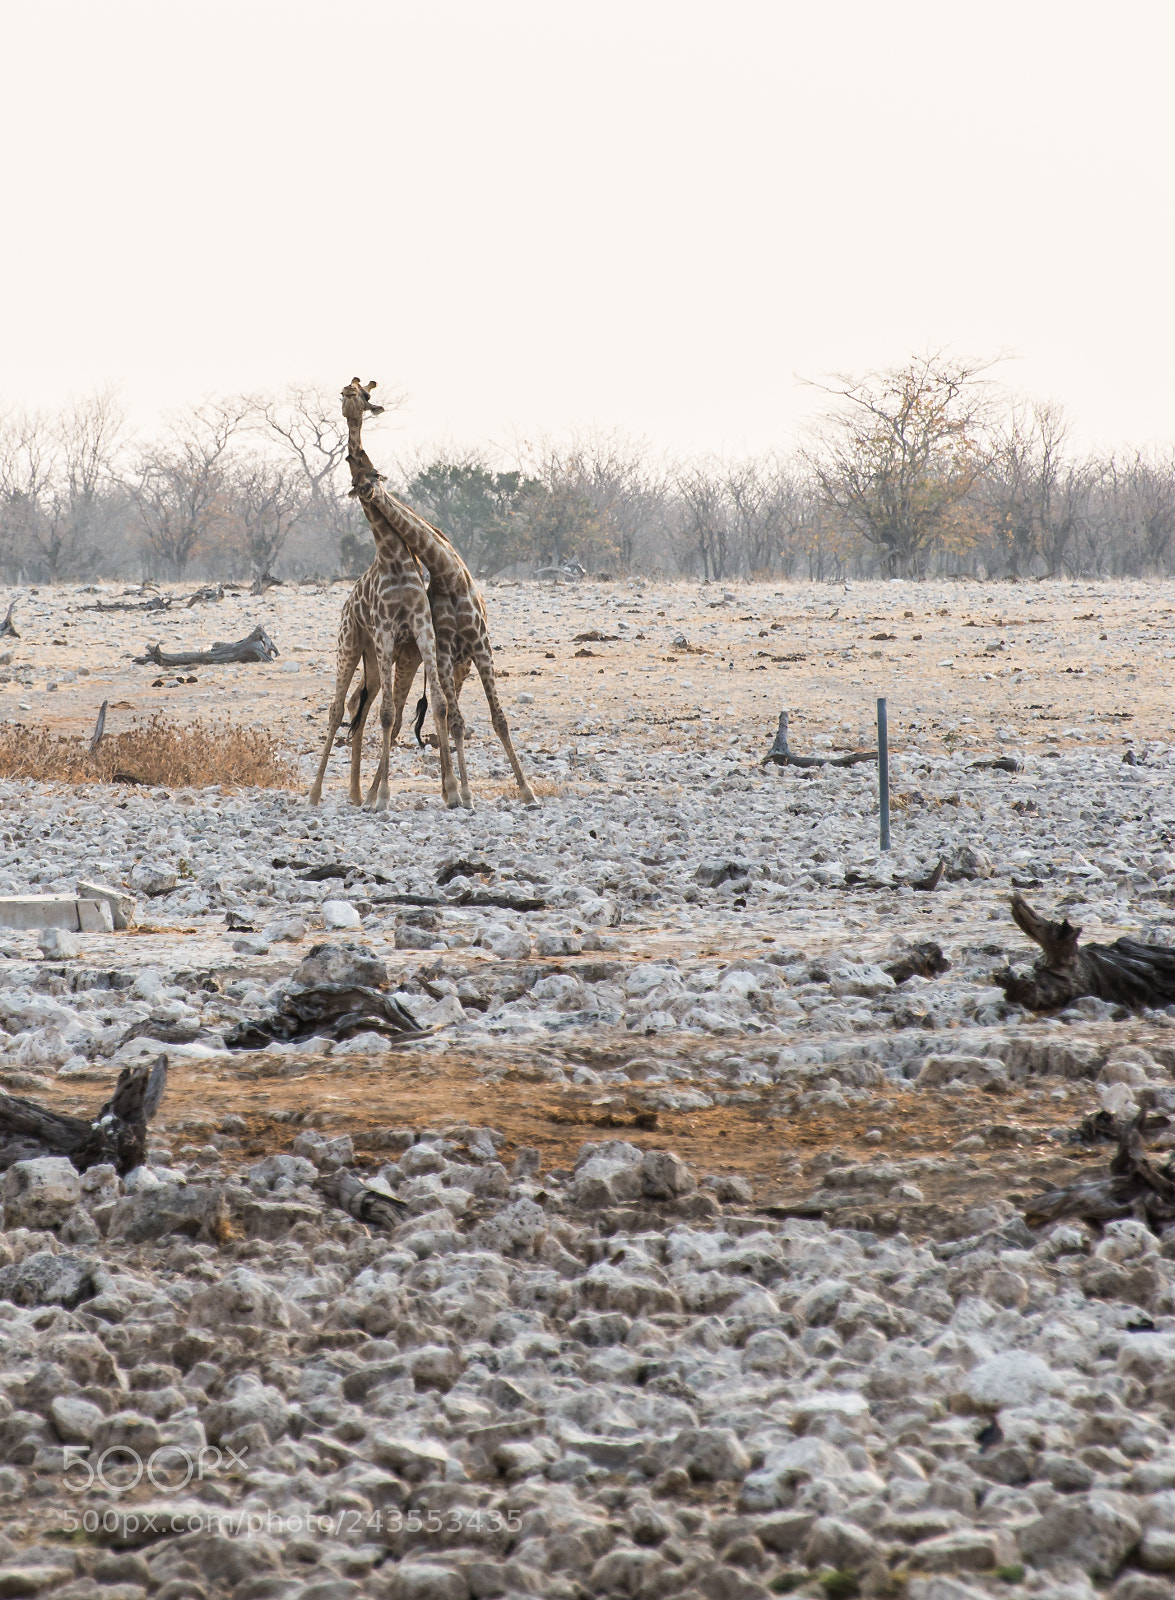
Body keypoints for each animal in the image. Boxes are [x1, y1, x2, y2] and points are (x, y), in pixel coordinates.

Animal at [307, 385, 459, 810]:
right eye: (357, 474)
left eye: (361, 394)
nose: (350, 397)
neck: (394, 558)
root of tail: (345, 608)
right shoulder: (387, 633)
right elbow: (389, 714)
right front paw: (386, 796)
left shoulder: (421, 631)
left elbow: (437, 704)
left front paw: (453, 791)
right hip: (351, 644)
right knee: (338, 708)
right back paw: (318, 793)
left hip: (376, 660)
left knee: (361, 706)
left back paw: (357, 794)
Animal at [342, 379, 538, 808]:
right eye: (356, 474)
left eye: (373, 475)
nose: (349, 395)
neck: (446, 572)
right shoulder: (443, 649)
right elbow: (453, 718)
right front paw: (462, 792)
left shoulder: (480, 646)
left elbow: (497, 719)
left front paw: (527, 791)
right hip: (417, 660)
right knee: (398, 713)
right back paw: (373, 793)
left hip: (452, 663)